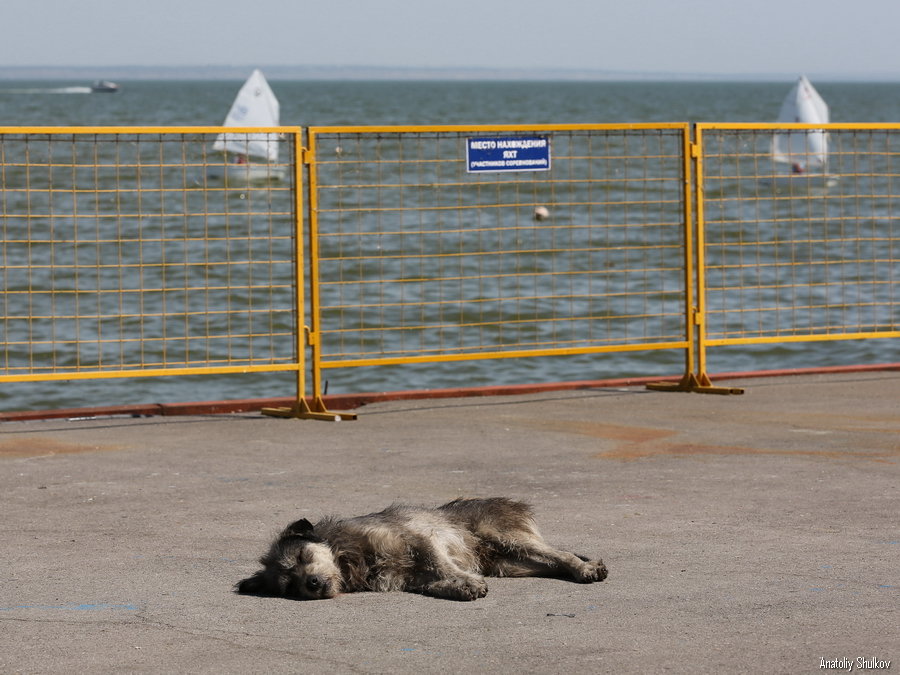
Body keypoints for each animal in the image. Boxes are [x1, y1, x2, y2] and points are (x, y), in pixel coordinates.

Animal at [236, 496, 608, 604]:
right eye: (290, 587)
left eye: (303, 557)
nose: (311, 585)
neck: (349, 557)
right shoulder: (405, 579)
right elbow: (433, 584)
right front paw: (459, 589)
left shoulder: (417, 539)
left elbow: (442, 564)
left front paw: (465, 581)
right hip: (509, 564)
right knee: (551, 562)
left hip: (503, 536)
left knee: (561, 555)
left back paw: (586, 568)